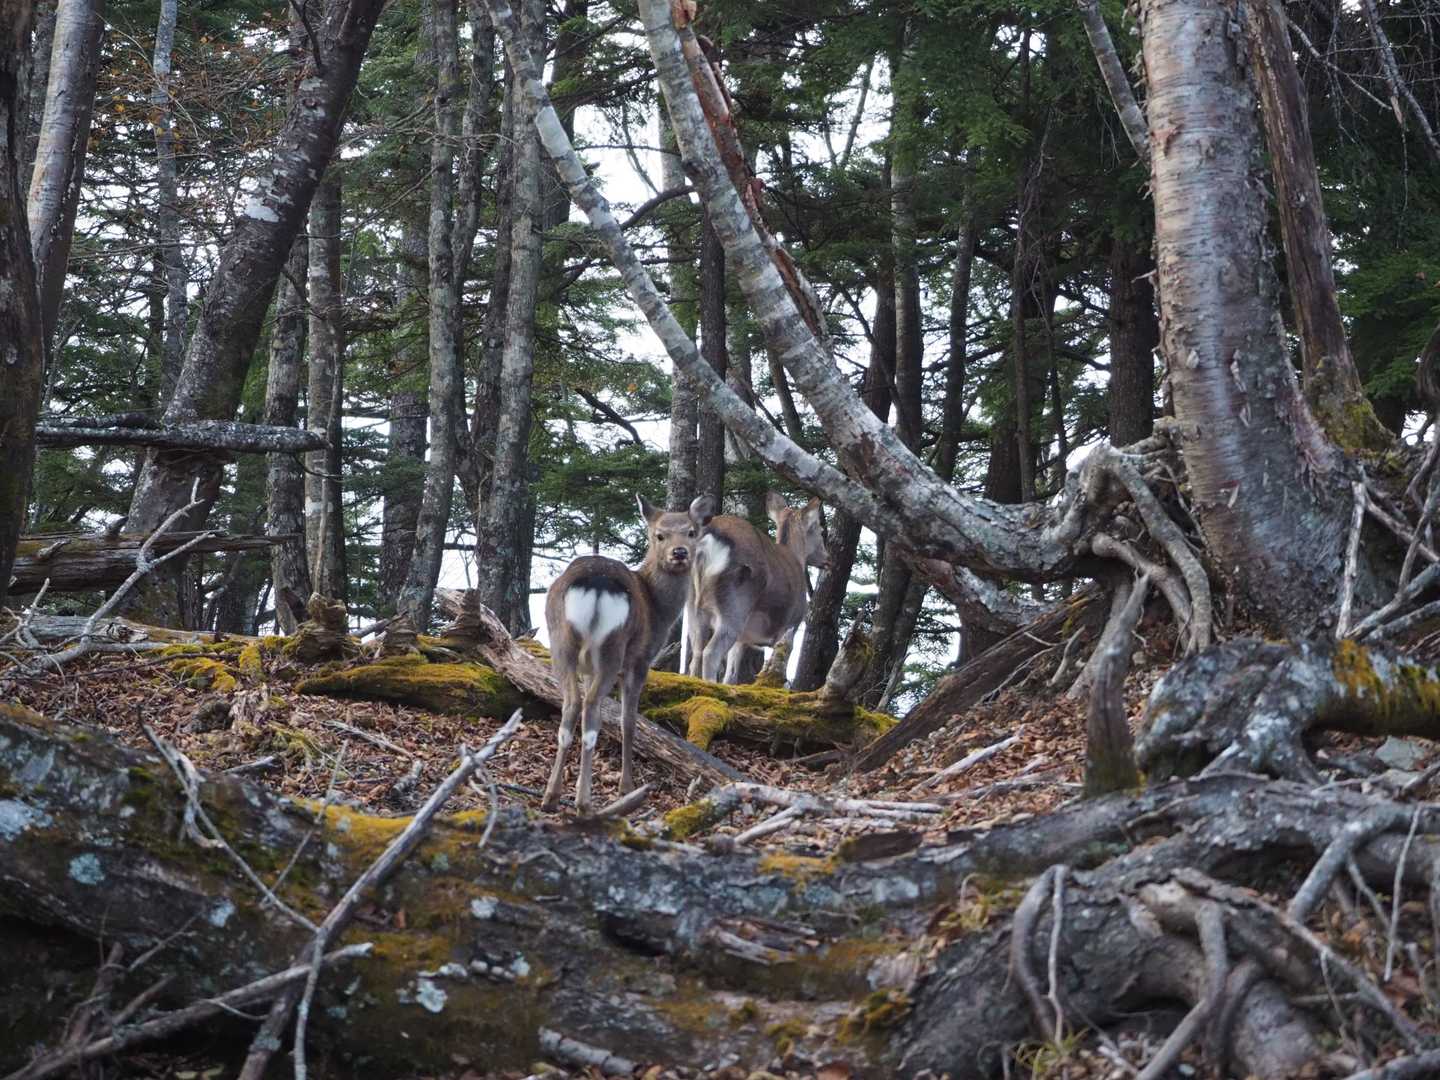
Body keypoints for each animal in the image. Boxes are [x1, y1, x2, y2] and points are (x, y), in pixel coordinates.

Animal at [541, 494, 716, 814]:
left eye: (691, 532)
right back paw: (584, 802)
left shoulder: (588, 666)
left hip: (561, 641)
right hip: (613, 648)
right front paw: (627, 786)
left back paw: (552, 797)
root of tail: (596, 584)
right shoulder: (640, 660)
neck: (658, 609)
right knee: (591, 710)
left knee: (571, 706)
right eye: (659, 534)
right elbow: (629, 722)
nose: (679, 553)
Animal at [686, 492, 829, 684]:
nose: (827, 559)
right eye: (820, 530)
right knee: (710, 654)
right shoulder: (789, 625)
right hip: (735, 604)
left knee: (696, 656)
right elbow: (778, 671)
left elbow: (731, 676)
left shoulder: (743, 639)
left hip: (692, 605)